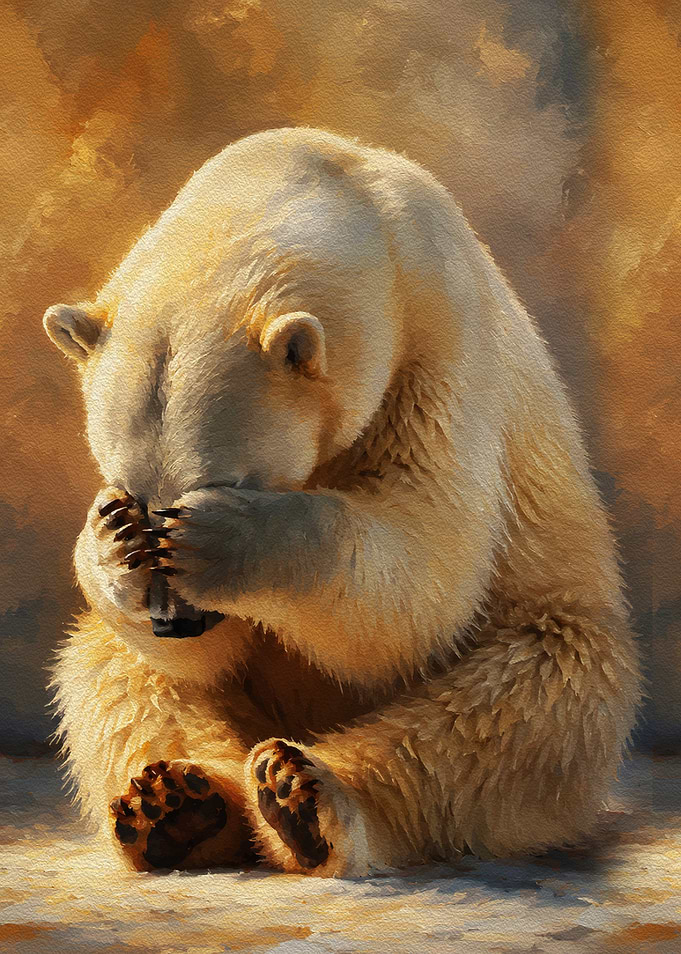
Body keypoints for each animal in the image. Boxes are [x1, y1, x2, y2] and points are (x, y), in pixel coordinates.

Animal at [43, 126, 641, 876]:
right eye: (128, 488)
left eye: (225, 481)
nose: (173, 622)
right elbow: (202, 658)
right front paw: (114, 543)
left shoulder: (437, 337)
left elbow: (424, 568)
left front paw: (223, 539)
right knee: (117, 679)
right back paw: (176, 806)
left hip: (554, 629)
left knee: (515, 716)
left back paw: (305, 797)